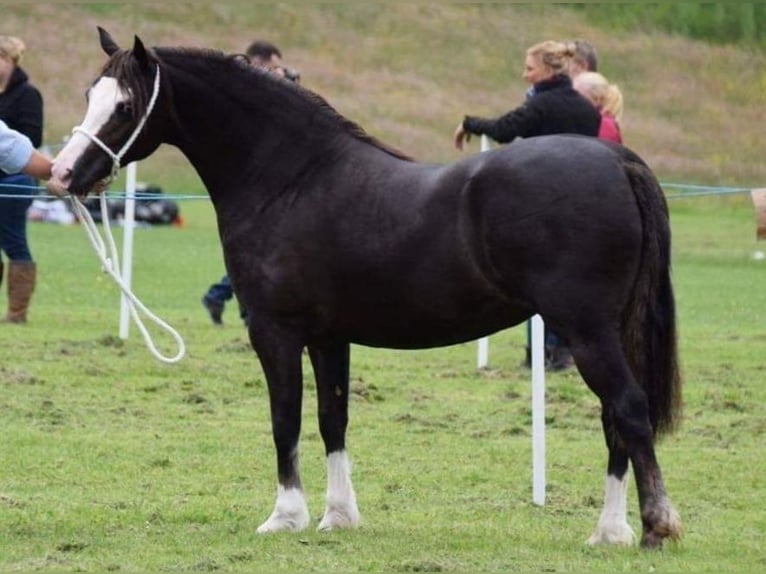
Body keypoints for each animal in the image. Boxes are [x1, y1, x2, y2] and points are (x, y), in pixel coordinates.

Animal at [49, 29, 683, 548]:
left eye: (125, 105)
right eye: (89, 94)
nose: (62, 174)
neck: (291, 179)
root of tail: (617, 161)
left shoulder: (275, 332)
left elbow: (285, 418)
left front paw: (285, 517)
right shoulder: (330, 337)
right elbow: (333, 419)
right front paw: (338, 516)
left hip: (585, 330)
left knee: (627, 408)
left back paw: (655, 526)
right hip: (610, 331)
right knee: (616, 420)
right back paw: (611, 532)